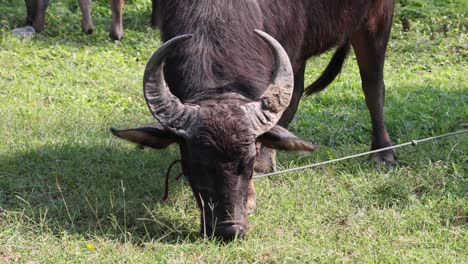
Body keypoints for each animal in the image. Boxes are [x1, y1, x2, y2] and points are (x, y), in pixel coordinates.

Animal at [112, 0, 394, 240]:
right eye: (193, 166)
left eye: (246, 164)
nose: (229, 230)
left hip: (376, 19)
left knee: (373, 87)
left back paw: (383, 153)